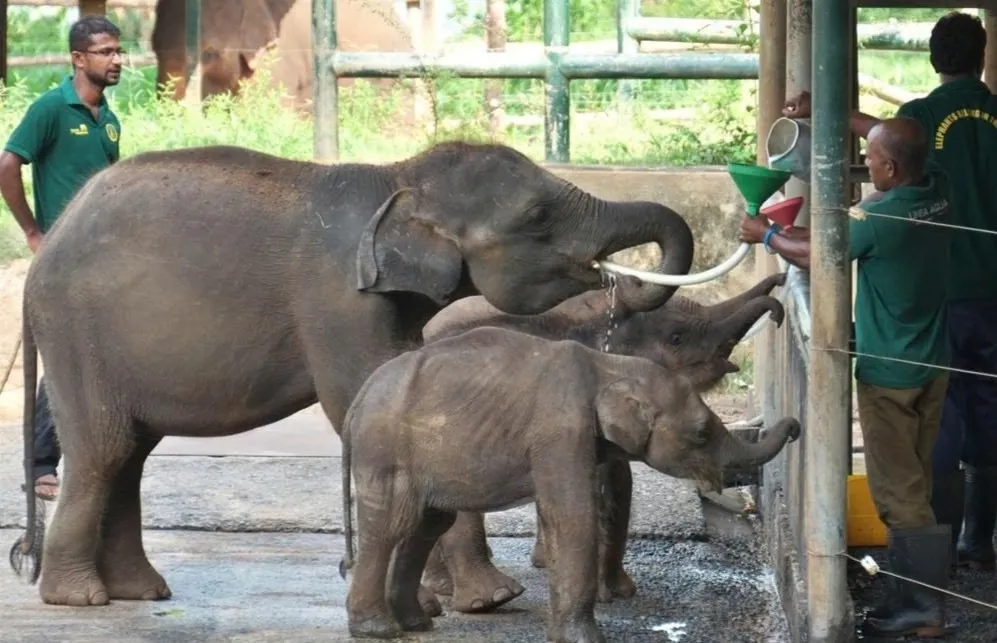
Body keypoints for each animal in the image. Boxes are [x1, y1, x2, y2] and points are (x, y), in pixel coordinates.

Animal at [17, 140, 696, 608]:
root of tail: (47, 243)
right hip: (74, 332)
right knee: (105, 448)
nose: (621, 283)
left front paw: (450, 600)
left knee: (131, 453)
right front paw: (476, 601)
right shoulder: (338, 298)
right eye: (536, 217)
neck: (398, 178)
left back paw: (141, 592)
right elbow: (359, 401)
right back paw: (80, 598)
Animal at [339, 325, 802, 642]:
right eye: (702, 433)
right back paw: (378, 629)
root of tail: (359, 397)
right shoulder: (560, 429)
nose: (796, 427)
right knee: (393, 524)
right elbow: (572, 512)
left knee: (426, 525)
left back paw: (416, 623)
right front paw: (586, 639)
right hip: (384, 449)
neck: (610, 366)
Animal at [413, 272, 788, 612]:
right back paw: (486, 598)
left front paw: (620, 593)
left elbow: (619, 483)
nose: (778, 311)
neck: (594, 322)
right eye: (677, 337)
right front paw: (600, 596)